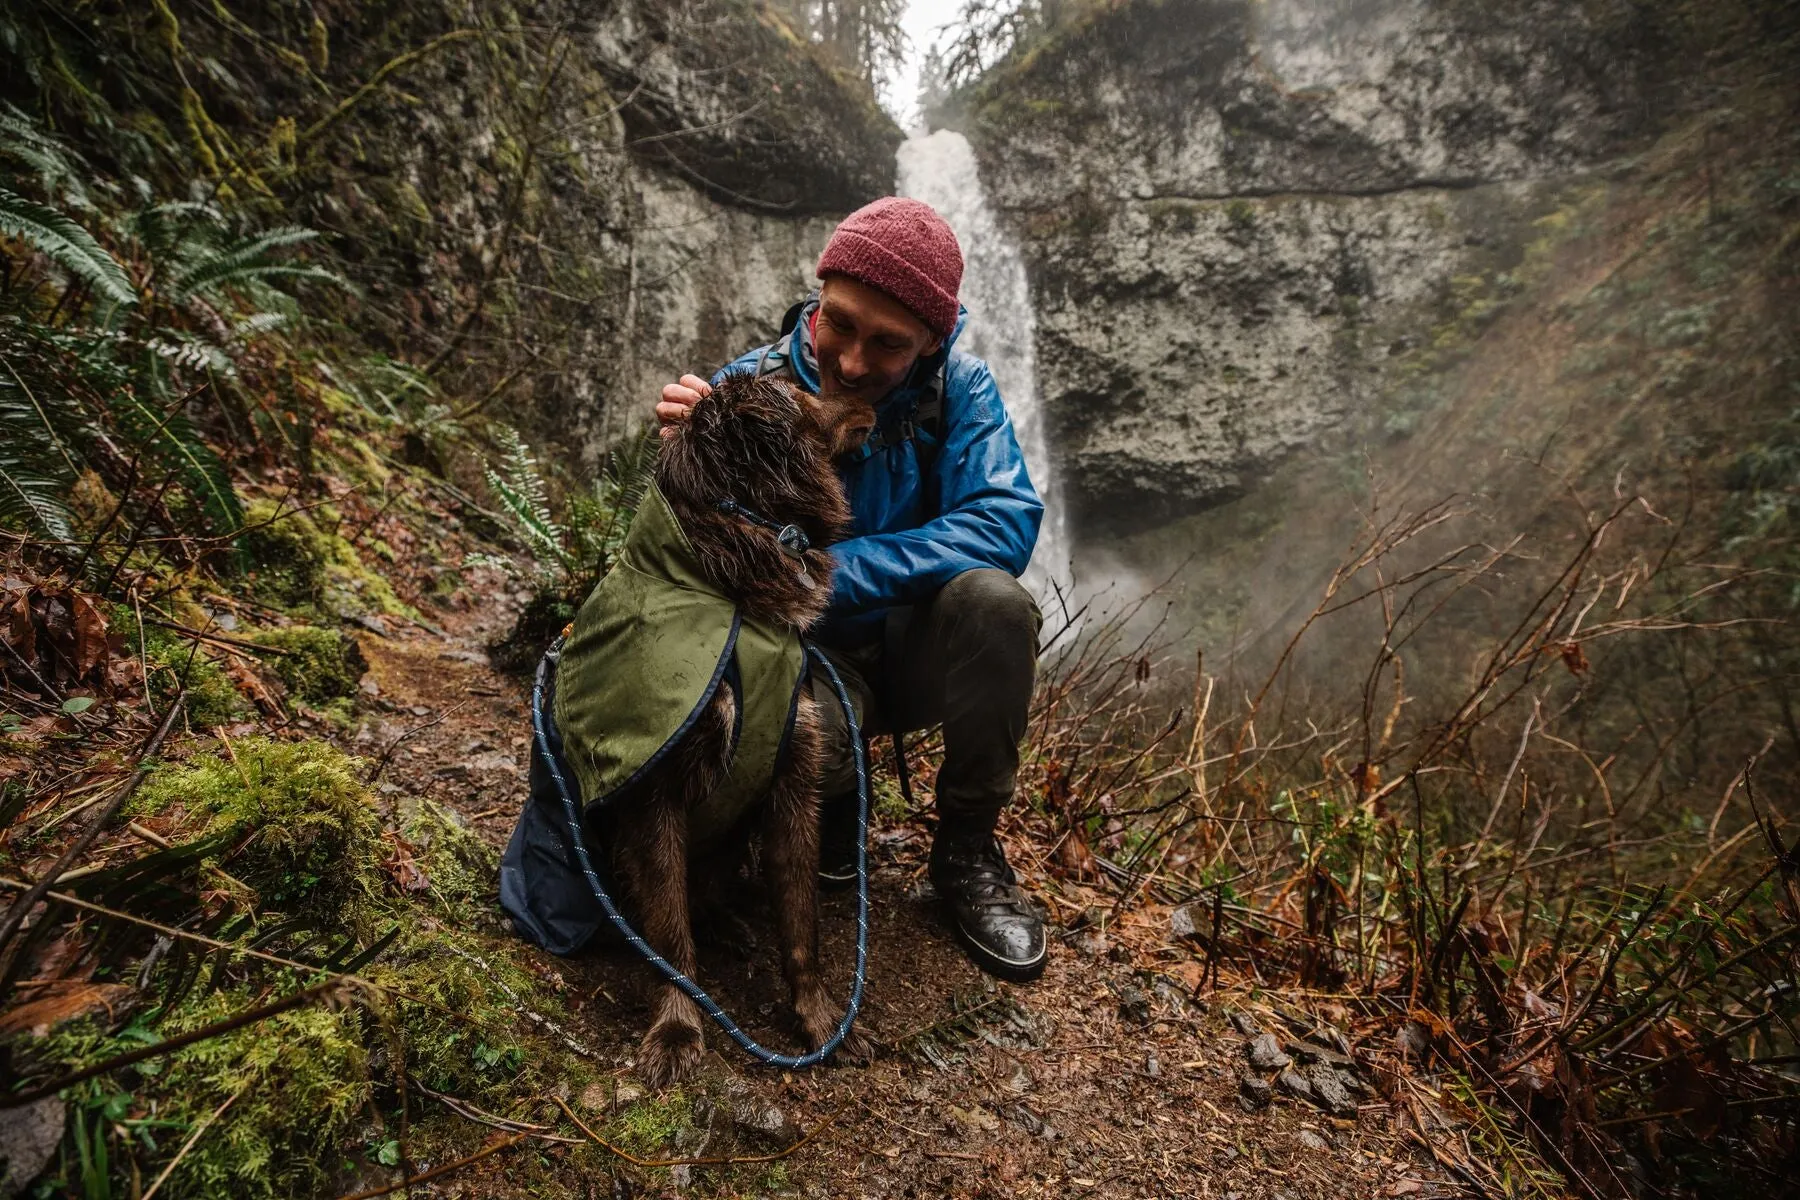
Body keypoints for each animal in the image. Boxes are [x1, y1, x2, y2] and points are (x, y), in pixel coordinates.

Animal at [579, 370, 874, 1086]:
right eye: (806, 389)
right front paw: (678, 1031)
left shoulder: (793, 777)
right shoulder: (653, 789)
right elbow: (669, 937)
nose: (871, 402)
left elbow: (801, 928)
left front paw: (821, 1021)